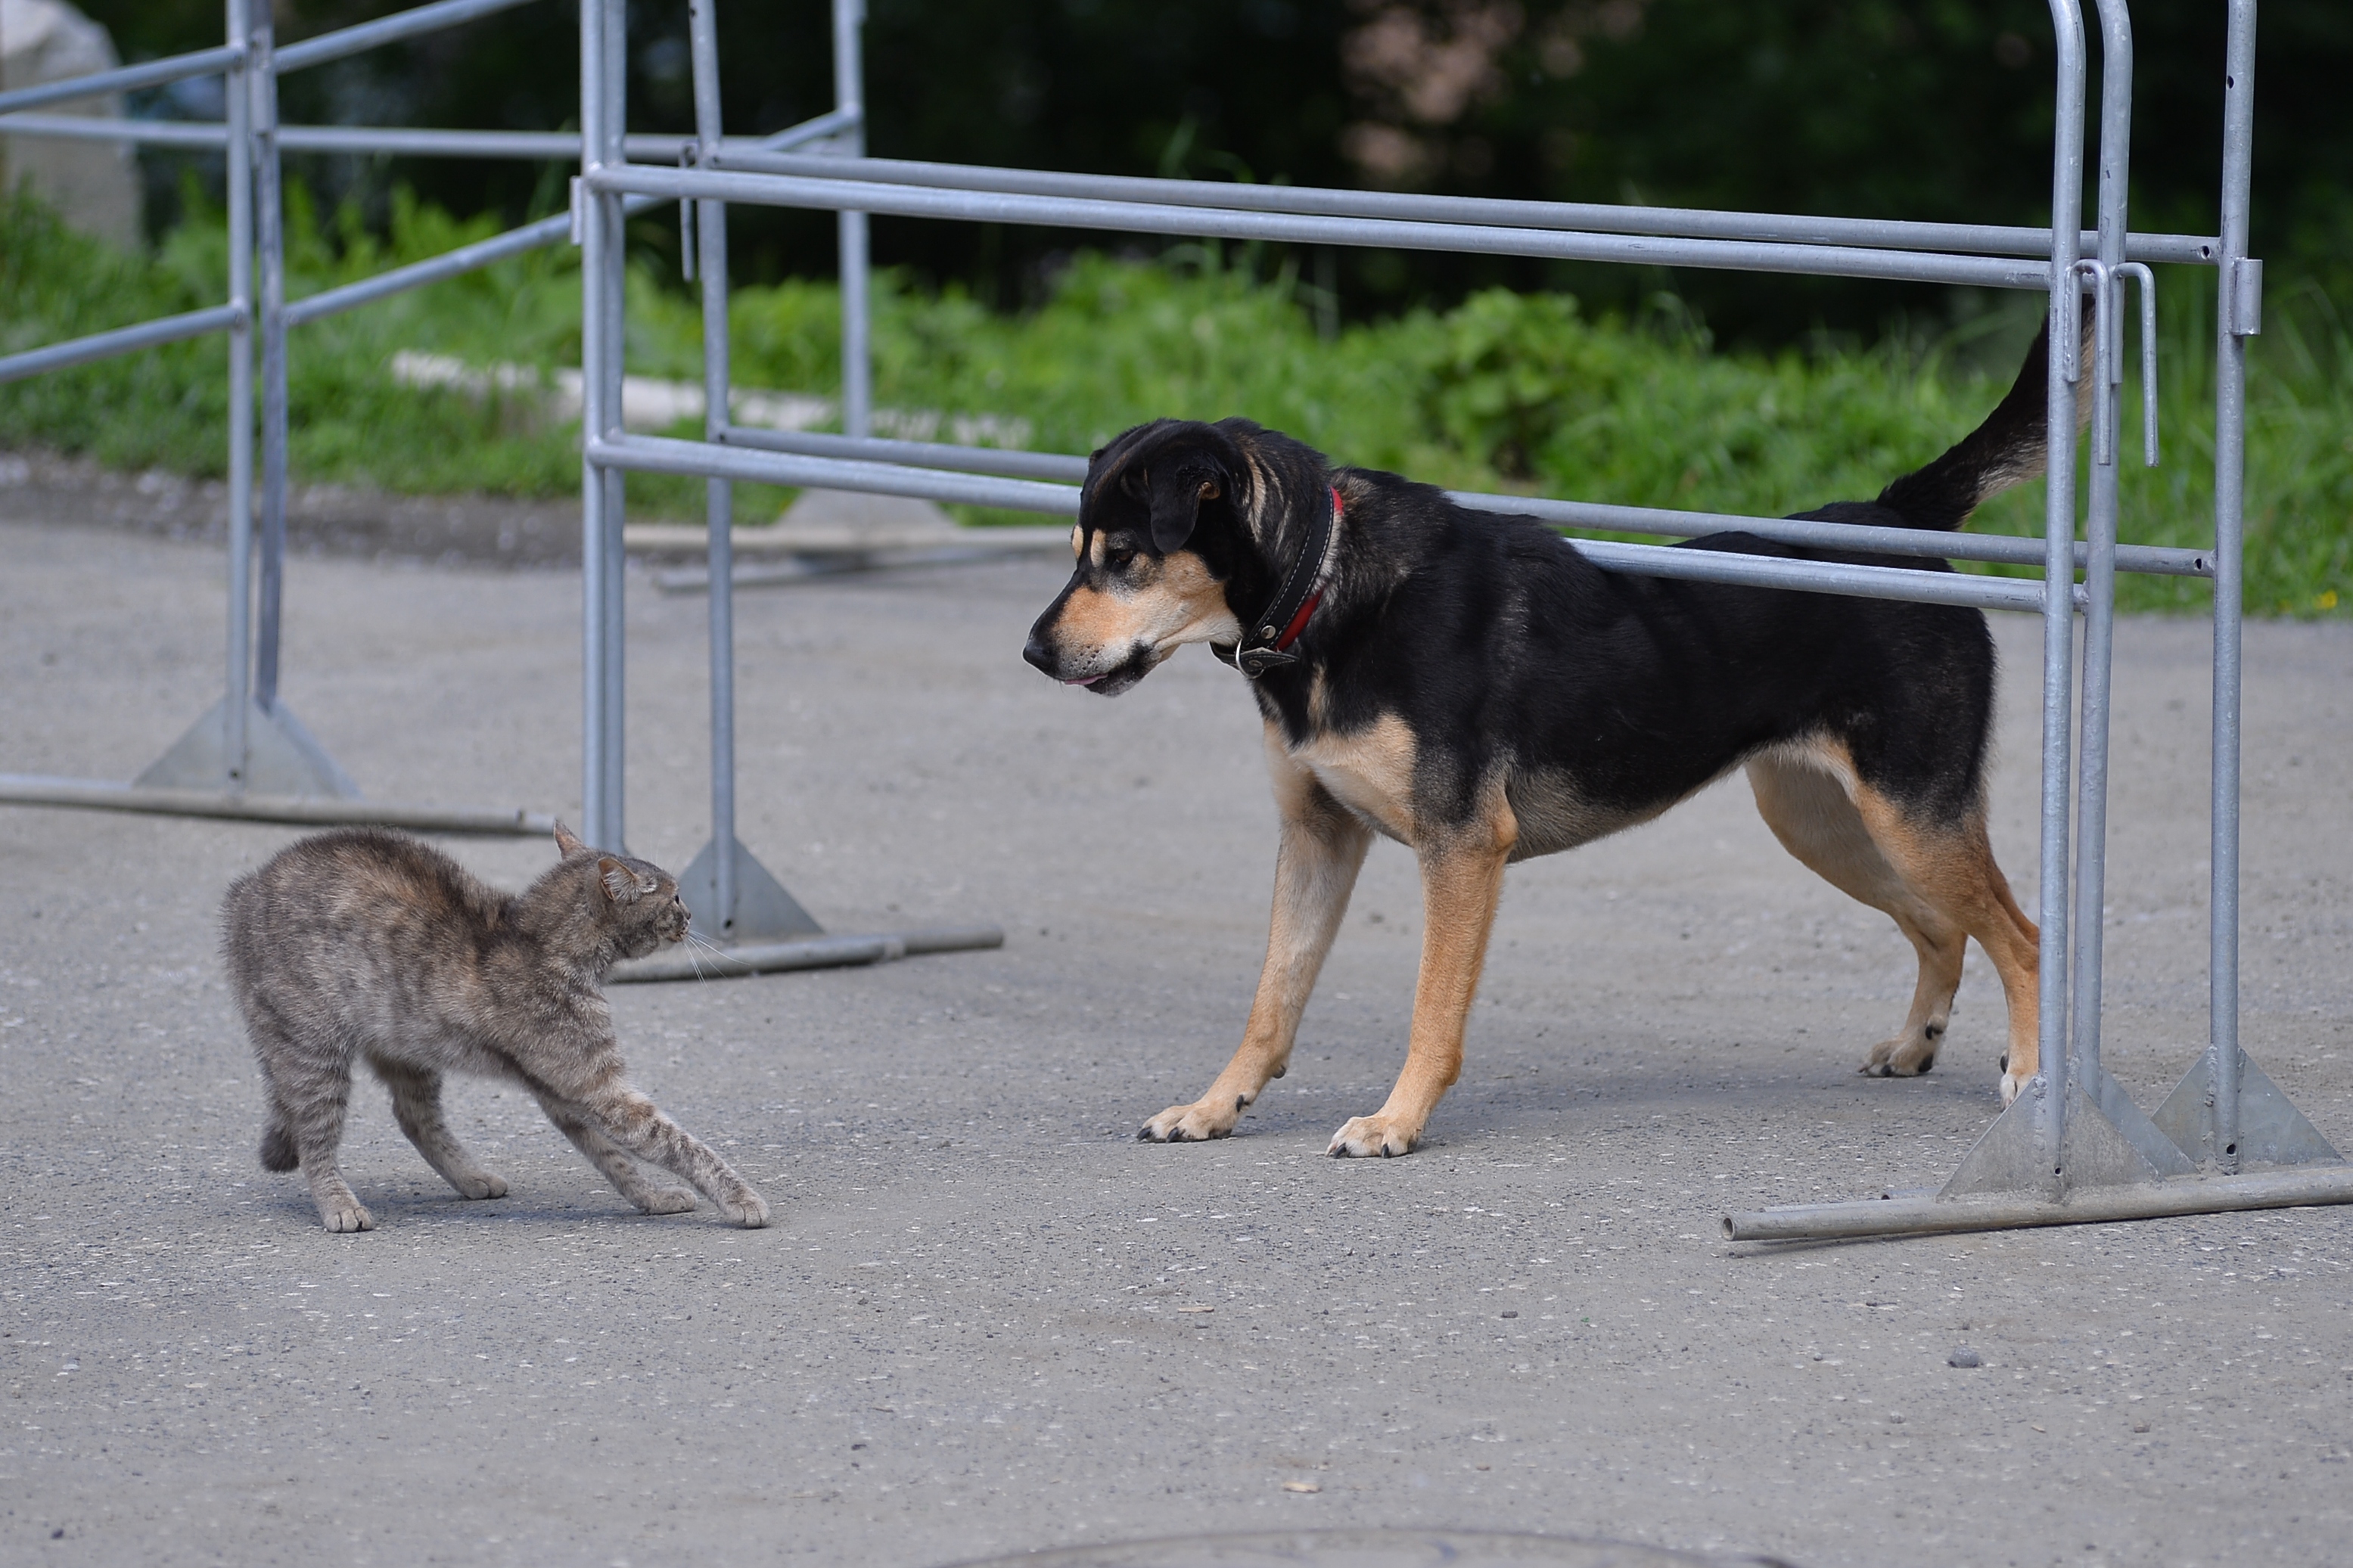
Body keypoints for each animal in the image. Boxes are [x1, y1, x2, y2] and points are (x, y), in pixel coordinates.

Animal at [221, 822, 772, 1240]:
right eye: (676, 895)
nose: (690, 915)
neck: (540, 944)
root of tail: (244, 891)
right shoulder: (600, 1090)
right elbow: (679, 1144)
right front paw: (739, 1196)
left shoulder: (565, 1091)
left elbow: (614, 1159)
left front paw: (651, 1197)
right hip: (314, 1053)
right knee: (316, 1140)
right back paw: (339, 1204)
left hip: (408, 1045)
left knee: (414, 1117)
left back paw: (470, 1177)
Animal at [1021, 324, 2070, 1161]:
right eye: (1075, 553)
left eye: (1124, 558)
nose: (1032, 653)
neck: (1322, 582)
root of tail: (1897, 518)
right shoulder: (1317, 837)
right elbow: (1271, 1001)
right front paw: (1213, 1109)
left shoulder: (1459, 848)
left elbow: (1430, 1011)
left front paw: (1395, 1122)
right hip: (1823, 821)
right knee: (1942, 926)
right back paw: (1915, 1045)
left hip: (1908, 814)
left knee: (2021, 937)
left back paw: (2030, 1077)